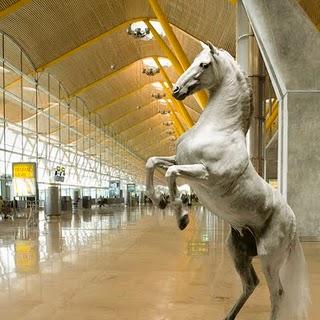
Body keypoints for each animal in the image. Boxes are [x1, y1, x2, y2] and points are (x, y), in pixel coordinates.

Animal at [146, 43, 310, 320]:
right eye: (193, 60)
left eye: (204, 64)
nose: (176, 90)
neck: (219, 129)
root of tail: (293, 222)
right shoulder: (177, 159)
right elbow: (152, 162)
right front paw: (158, 201)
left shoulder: (205, 174)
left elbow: (171, 174)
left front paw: (182, 218)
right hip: (237, 249)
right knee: (250, 284)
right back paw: (228, 316)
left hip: (269, 257)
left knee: (278, 293)